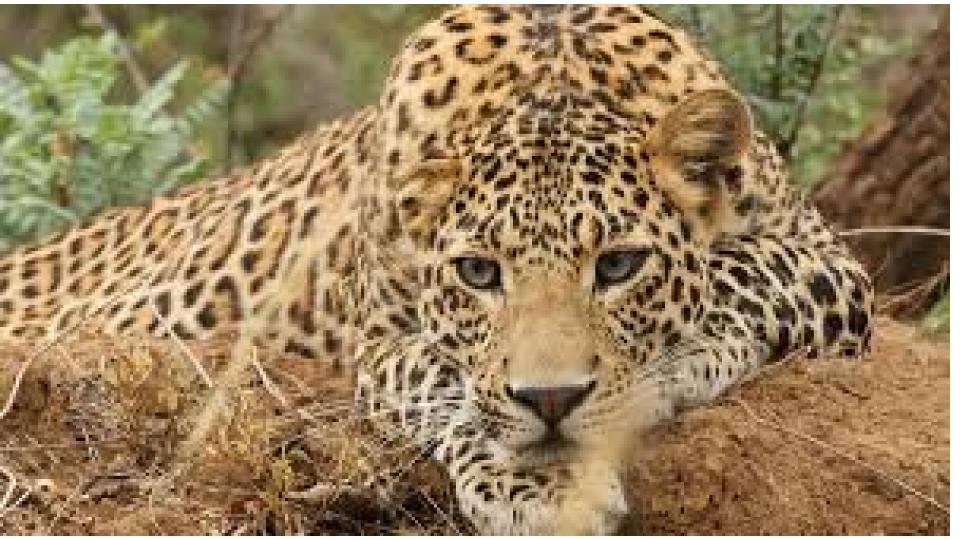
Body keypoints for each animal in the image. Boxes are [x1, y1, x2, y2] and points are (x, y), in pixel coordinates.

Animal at [0, 5, 874, 535]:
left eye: (620, 265)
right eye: (479, 275)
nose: (551, 400)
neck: (552, 82)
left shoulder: (834, 264)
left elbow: (746, 271)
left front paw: (679, 360)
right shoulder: (382, 346)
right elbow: (449, 380)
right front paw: (542, 489)